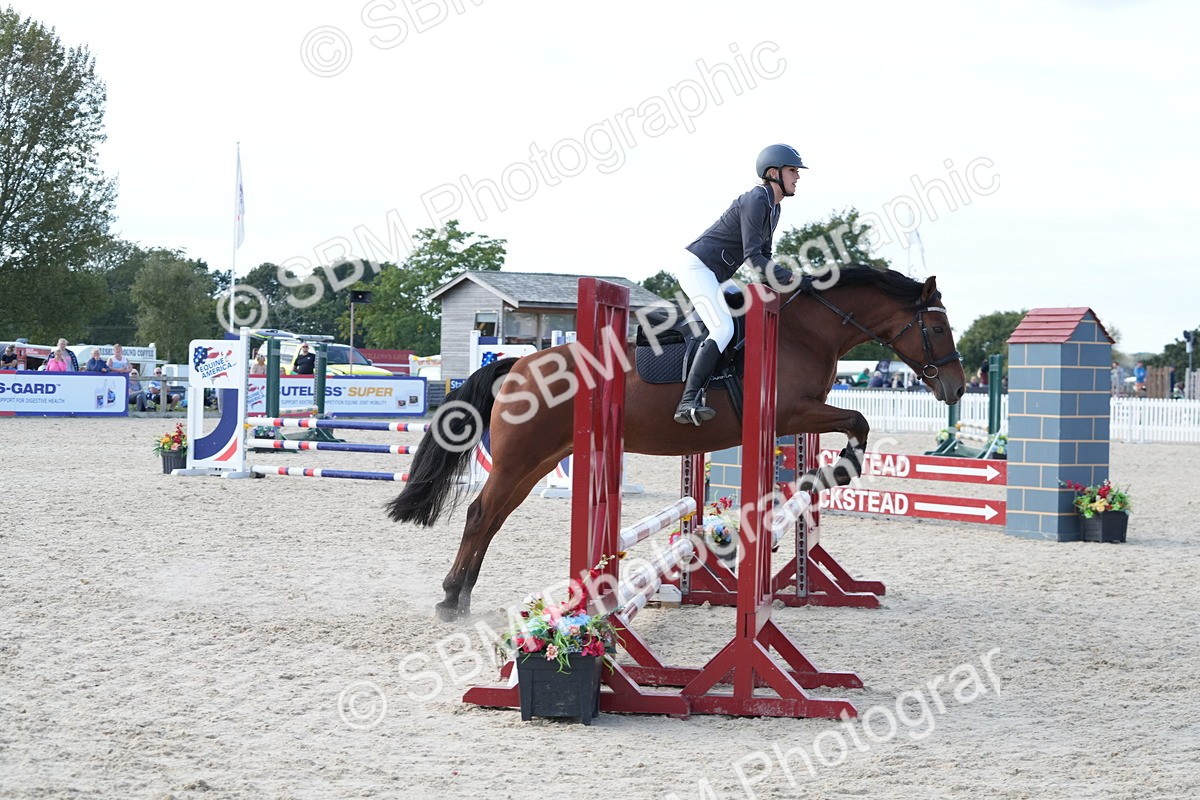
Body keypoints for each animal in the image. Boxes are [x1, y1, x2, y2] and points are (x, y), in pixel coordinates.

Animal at [388, 267, 967, 618]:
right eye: (938, 328)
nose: (957, 388)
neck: (804, 329)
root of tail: (517, 363)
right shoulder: (791, 411)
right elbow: (858, 422)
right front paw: (838, 469)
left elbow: (852, 426)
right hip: (520, 458)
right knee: (481, 514)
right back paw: (451, 599)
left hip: (538, 461)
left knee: (491, 517)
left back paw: (460, 595)